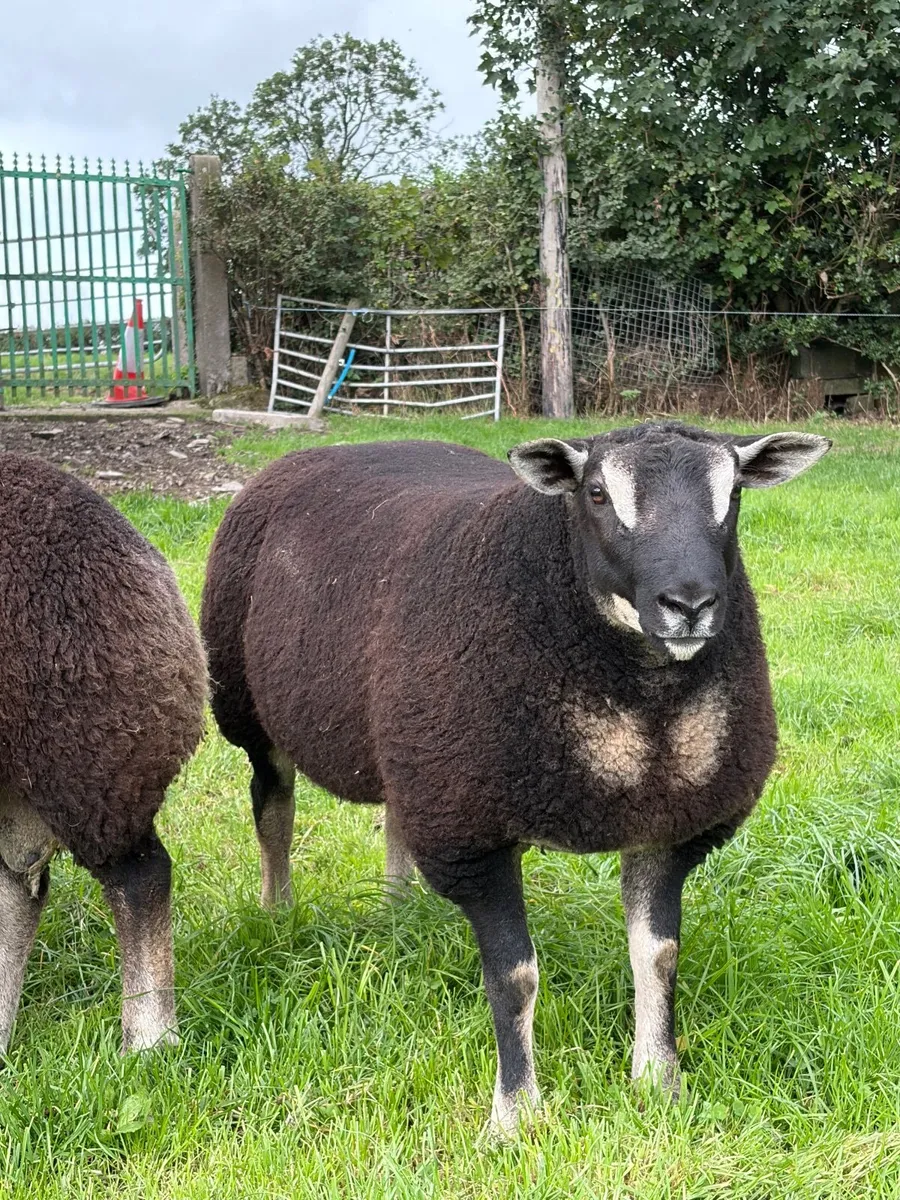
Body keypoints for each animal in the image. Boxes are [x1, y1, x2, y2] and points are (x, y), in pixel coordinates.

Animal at [200, 422, 830, 1134]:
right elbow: (515, 977)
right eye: (596, 493)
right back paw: (278, 914)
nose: (689, 604)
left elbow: (657, 956)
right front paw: (516, 1114)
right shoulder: (473, 834)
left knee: (393, 815)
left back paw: (397, 911)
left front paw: (659, 1083)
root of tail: (337, 446)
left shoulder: (667, 825)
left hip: (413, 745)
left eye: (735, 492)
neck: (642, 703)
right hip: (254, 711)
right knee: (273, 811)